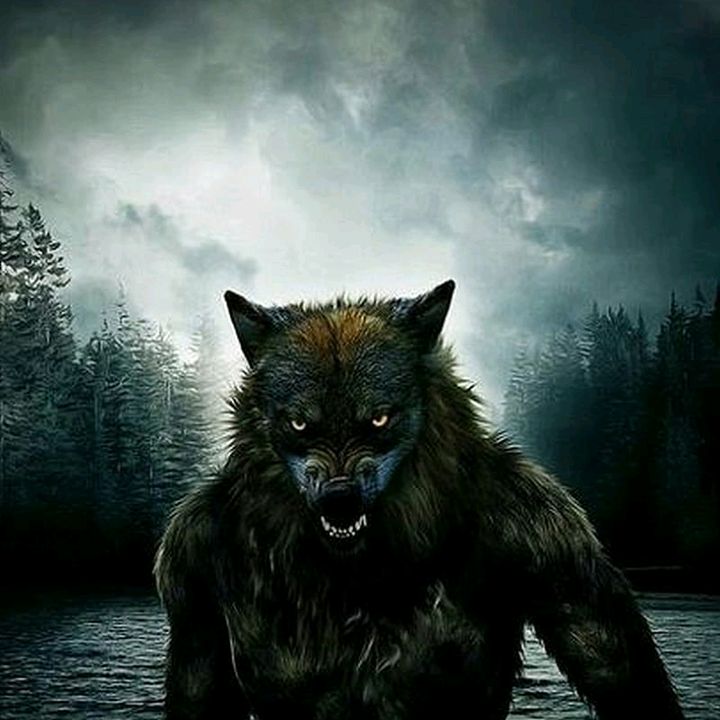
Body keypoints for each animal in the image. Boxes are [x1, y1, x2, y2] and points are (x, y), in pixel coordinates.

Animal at [155, 280, 684, 719]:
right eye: (300, 423)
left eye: (379, 419)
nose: (339, 499)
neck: (352, 577)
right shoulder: (191, 563)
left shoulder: (544, 530)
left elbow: (616, 665)